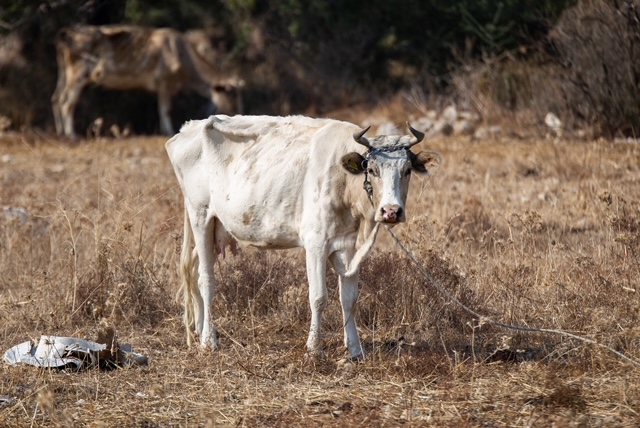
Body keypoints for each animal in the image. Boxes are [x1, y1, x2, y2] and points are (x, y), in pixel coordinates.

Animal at [166, 113, 440, 358]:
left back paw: (200, 329)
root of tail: (190, 127)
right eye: (371, 169)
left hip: (215, 228)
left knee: (195, 274)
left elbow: (349, 299)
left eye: (407, 170)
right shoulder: (316, 244)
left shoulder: (349, 247)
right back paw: (208, 341)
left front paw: (355, 350)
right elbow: (318, 297)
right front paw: (313, 348)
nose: (391, 211)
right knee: (206, 280)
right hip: (200, 216)